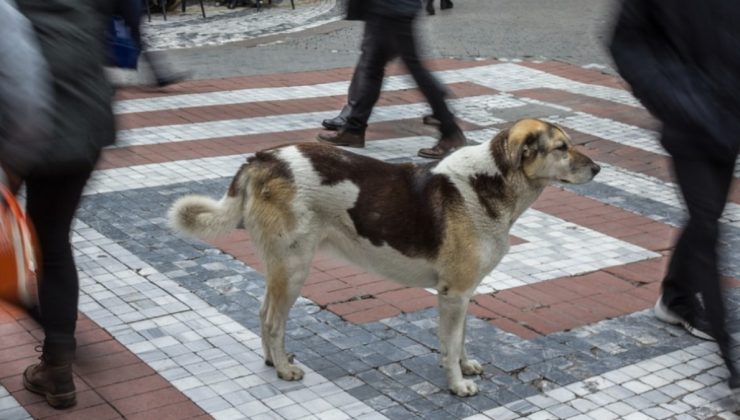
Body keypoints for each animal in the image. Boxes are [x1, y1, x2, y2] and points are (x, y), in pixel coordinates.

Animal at [169, 118, 600, 398]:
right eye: (561, 148)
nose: (598, 168)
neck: (489, 182)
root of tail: (262, 159)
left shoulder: (464, 295)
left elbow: (462, 340)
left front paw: (466, 365)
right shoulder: (453, 294)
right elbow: (449, 346)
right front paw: (457, 385)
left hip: (282, 267)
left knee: (262, 315)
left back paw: (272, 362)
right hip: (294, 269)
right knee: (273, 321)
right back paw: (285, 369)